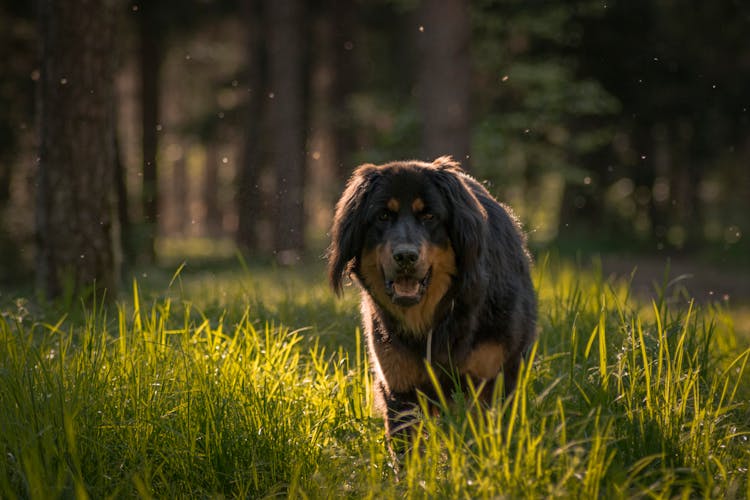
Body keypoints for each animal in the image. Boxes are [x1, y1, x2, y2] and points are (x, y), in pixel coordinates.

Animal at [328, 156, 536, 450]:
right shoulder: (399, 385)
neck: (435, 320)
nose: (405, 256)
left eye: (429, 216)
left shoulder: (489, 380)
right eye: (383, 216)